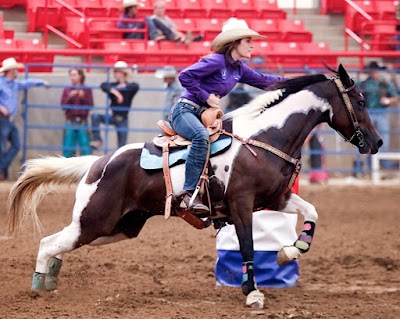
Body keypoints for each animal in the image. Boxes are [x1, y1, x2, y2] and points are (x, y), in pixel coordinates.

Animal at [7, 64, 382, 308]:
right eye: (361, 101)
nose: (377, 142)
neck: (266, 137)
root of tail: (98, 163)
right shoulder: (242, 203)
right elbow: (247, 245)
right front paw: (252, 291)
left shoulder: (276, 198)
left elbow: (311, 211)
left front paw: (289, 251)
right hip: (95, 221)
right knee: (49, 241)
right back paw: (38, 284)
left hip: (119, 227)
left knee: (58, 243)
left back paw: (50, 277)